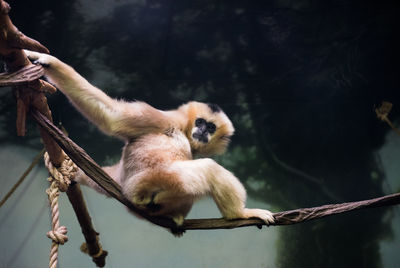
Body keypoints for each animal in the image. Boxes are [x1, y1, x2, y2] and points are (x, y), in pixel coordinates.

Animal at [24, 49, 276, 230]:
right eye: (201, 122)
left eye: (211, 127)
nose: (203, 131)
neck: (184, 130)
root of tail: (125, 185)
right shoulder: (166, 119)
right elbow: (113, 117)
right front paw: (48, 61)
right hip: (145, 185)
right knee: (208, 168)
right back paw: (239, 214)